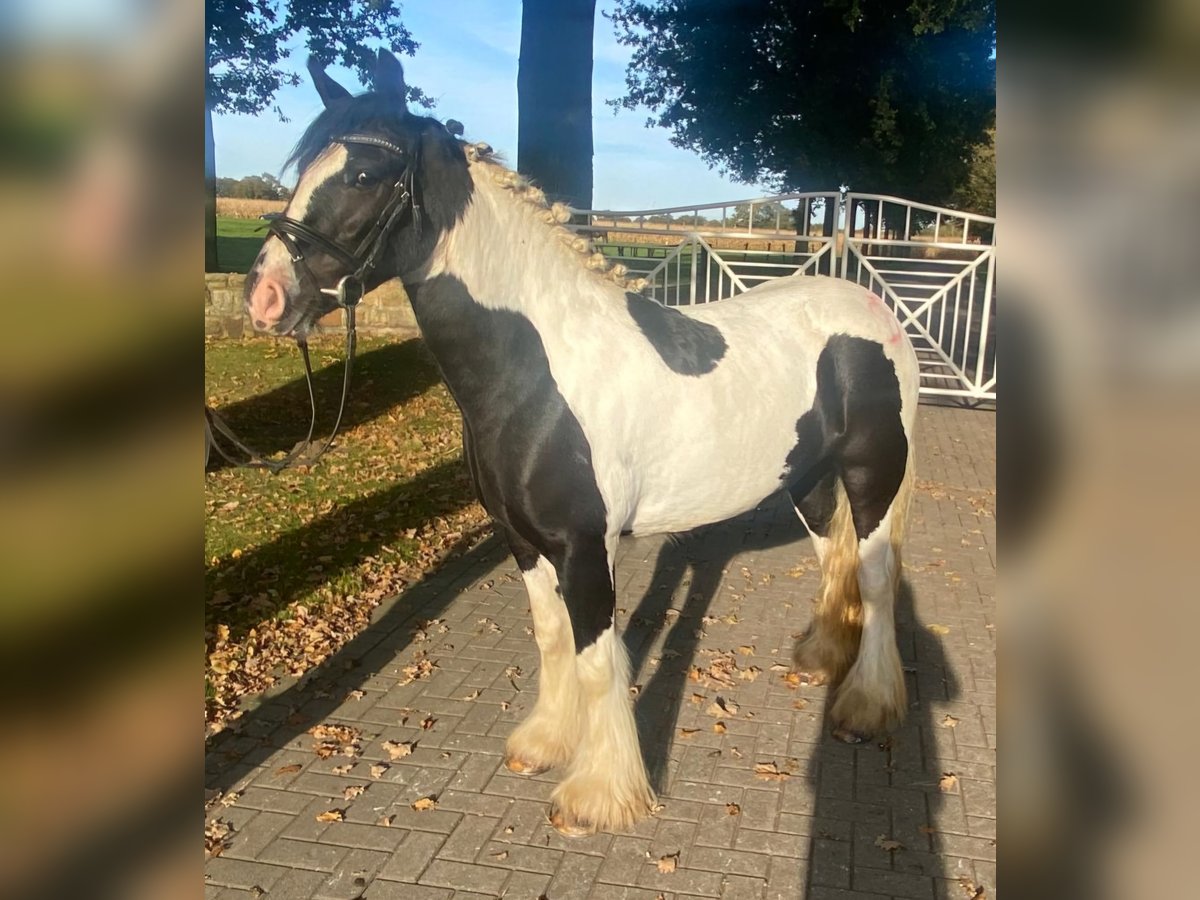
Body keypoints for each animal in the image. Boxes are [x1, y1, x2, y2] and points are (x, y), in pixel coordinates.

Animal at [241, 51, 916, 840]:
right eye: (302, 169)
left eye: (363, 175)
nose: (264, 297)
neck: (537, 369)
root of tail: (873, 309)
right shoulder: (523, 541)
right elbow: (549, 636)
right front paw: (544, 742)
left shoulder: (586, 547)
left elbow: (598, 658)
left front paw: (600, 792)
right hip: (807, 481)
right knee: (834, 554)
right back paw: (821, 657)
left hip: (874, 478)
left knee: (876, 576)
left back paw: (866, 705)